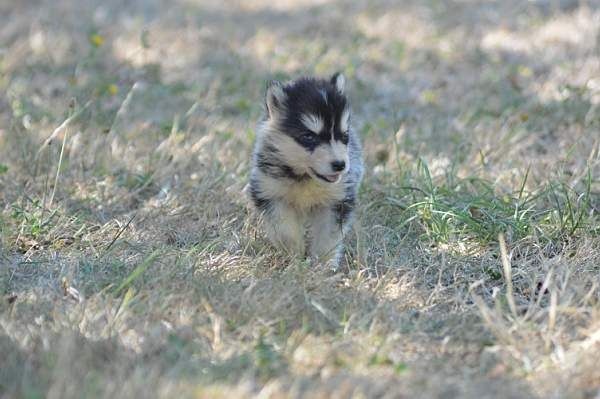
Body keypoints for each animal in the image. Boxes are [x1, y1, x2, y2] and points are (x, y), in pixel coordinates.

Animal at [247, 73, 364, 268]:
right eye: (308, 136)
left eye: (344, 135)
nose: (340, 165)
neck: (306, 178)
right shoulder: (270, 191)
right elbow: (284, 229)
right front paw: (294, 257)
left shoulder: (337, 199)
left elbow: (328, 234)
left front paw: (323, 264)